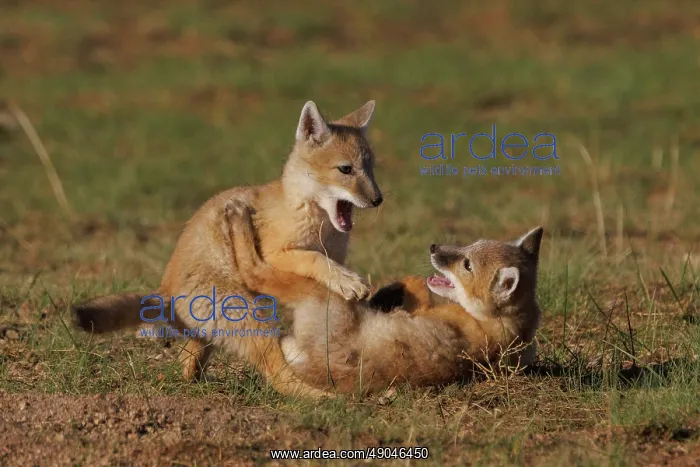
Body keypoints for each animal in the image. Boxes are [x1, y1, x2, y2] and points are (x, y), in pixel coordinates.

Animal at [72, 100, 383, 397]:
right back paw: (335, 398)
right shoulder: (276, 254)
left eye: (370, 169)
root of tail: (165, 290)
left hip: (212, 336)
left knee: (188, 364)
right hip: (250, 317)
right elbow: (315, 260)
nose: (378, 200)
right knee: (278, 376)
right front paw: (348, 282)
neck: (318, 227)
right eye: (346, 169)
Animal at [224, 199, 543, 394]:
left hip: (314, 292)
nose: (433, 247)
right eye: (469, 246)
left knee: (255, 272)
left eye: (467, 265)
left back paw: (237, 216)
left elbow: (418, 286)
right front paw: (386, 292)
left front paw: (385, 293)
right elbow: (414, 283)